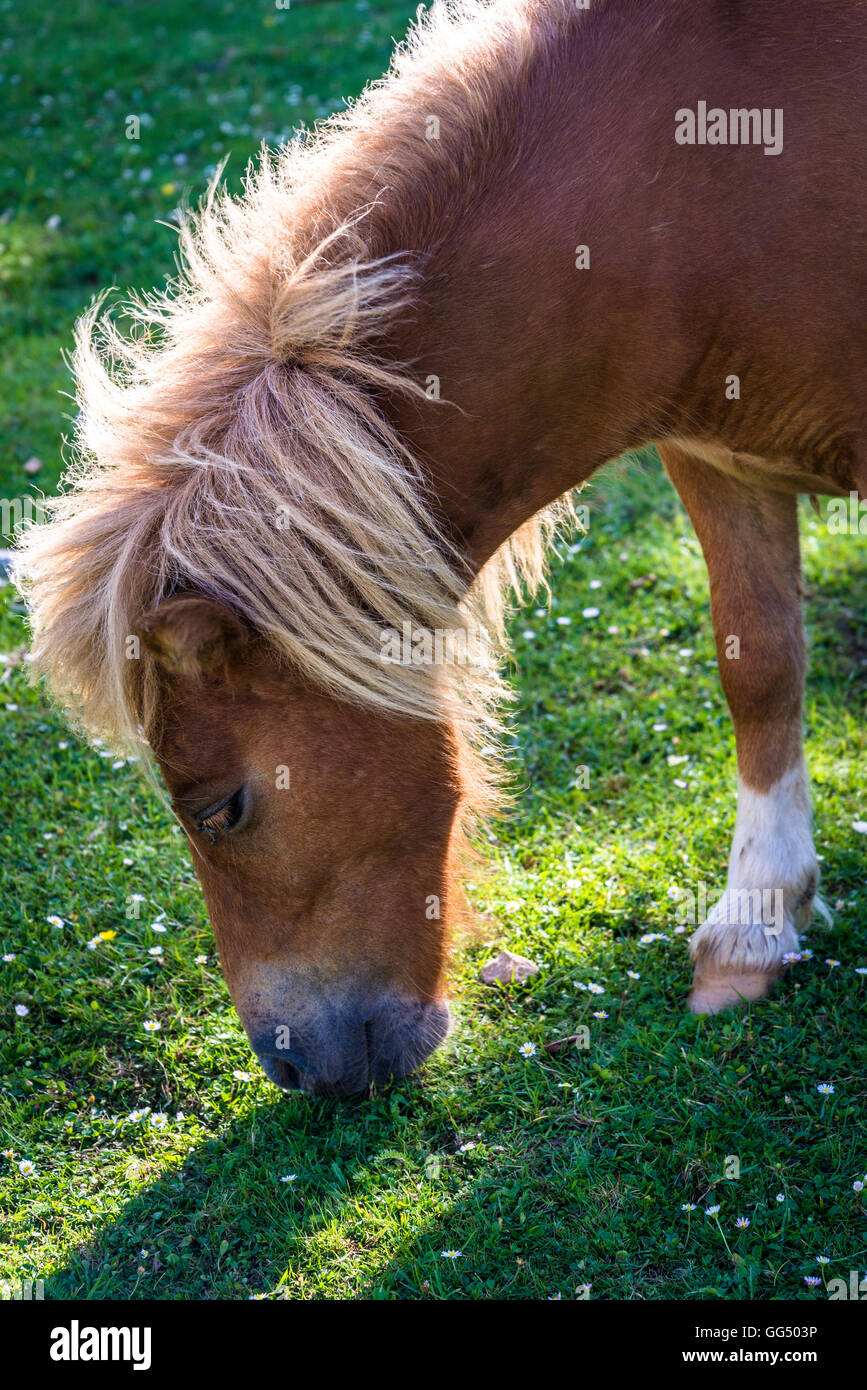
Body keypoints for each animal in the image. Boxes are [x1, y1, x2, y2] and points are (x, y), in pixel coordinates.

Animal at [14, 0, 867, 1095]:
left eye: (220, 810)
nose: (294, 1068)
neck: (701, 174)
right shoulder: (717, 456)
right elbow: (758, 664)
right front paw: (754, 926)